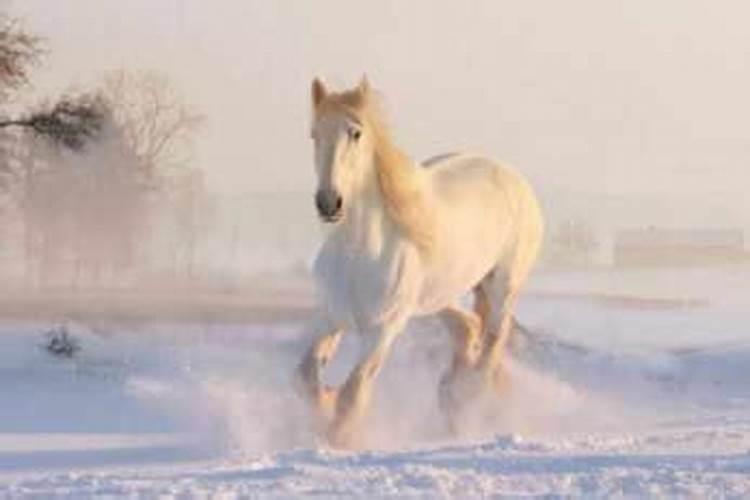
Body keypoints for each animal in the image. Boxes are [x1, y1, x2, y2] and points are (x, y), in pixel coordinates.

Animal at [296, 76, 548, 448]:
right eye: (314, 134)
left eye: (356, 133)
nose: (329, 202)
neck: (360, 254)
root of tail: (512, 176)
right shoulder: (330, 316)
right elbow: (306, 376)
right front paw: (324, 404)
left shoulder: (383, 329)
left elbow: (353, 394)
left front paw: (339, 439)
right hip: (440, 296)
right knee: (468, 327)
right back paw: (452, 395)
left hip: (503, 286)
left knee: (492, 340)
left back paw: (467, 401)